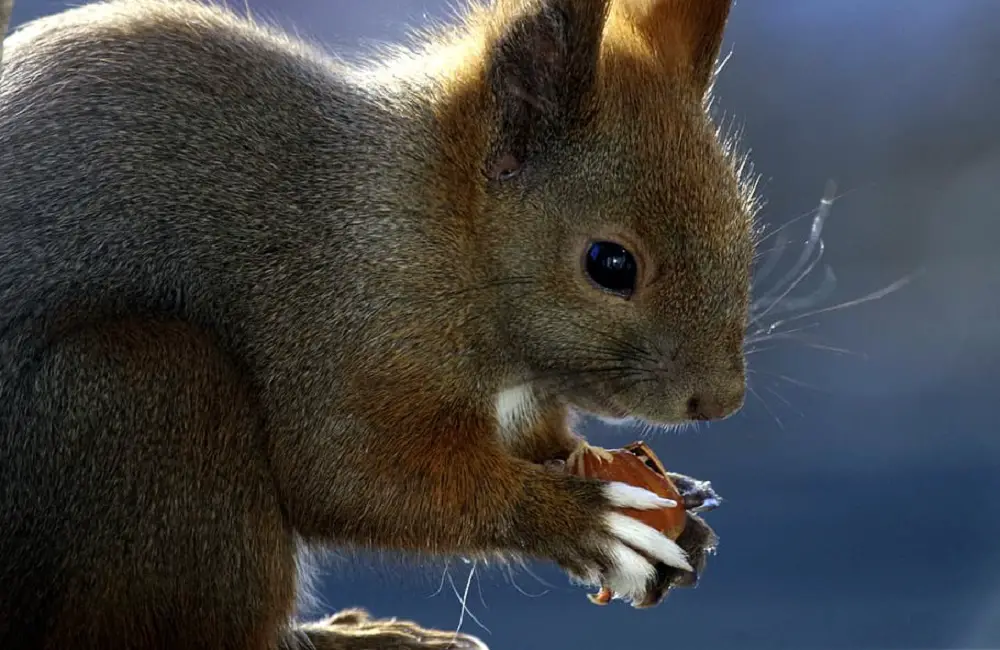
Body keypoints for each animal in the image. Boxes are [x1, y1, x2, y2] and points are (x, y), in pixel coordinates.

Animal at [0, 0, 754, 648]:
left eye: (744, 230)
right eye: (610, 263)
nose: (720, 401)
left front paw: (675, 506)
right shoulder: (340, 318)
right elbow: (352, 476)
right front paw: (585, 519)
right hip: (144, 390)